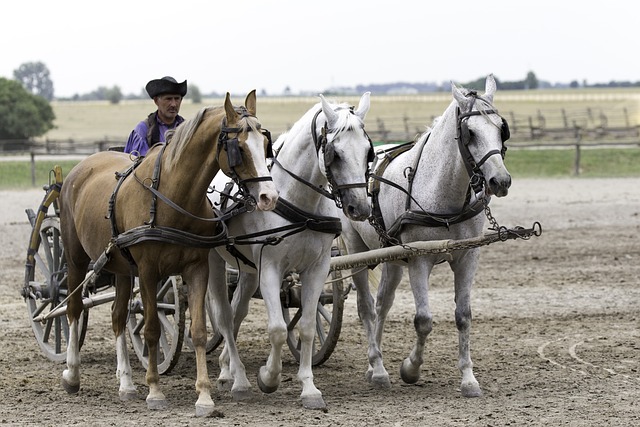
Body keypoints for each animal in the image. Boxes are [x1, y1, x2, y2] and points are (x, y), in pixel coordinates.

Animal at [59, 91, 278, 418]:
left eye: (265, 144)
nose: (269, 197)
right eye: (238, 147)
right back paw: (72, 374)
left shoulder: (197, 268)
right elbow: (151, 329)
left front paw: (204, 397)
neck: (173, 197)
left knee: (118, 316)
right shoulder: (149, 272)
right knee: (74, 309)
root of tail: (81, 167)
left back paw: (126, 384)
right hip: (75, 257)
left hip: (122, 268)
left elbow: (198, 331)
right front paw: (154, 390)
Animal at [208, 92, 372, 410]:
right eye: (335, 154)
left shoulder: (317, 268)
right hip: (213, 263)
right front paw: (268, 378)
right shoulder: (271, 269)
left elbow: (306, 326)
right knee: (223, 316)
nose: (360, 207)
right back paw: (236, 378)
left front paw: (309, 388)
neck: (299, 201)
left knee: (237, 312)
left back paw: (226, 369)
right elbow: (278, 329)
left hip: (249, 270)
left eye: (368, 151)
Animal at [340, 73, 510, 398]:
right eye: (470, 132)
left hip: (392, 257)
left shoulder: (468, 256)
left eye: (500, 129)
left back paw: (374, 363)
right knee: (366, 308)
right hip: (357, 249)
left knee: (382, 304)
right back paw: (376, 367)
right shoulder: (419, 260)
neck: (442, 193)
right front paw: (411, 369)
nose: (501, 181)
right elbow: (423, 321)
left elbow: (463, 316)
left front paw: (468, 379)